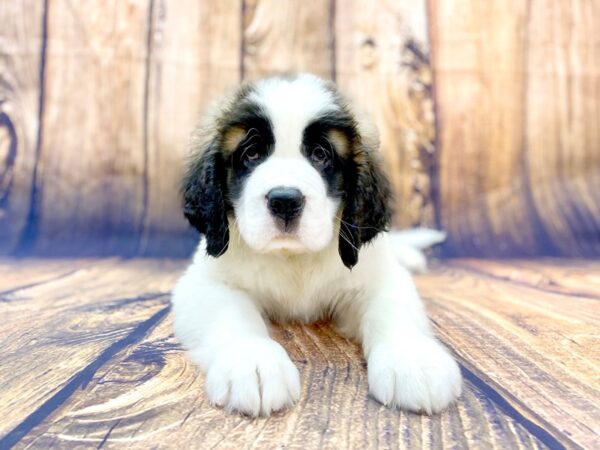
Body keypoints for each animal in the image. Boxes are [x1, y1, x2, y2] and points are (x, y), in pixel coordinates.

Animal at [171, 73, 462, 414]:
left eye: (321, 155)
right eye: (251, 154)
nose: (285, 201)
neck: (293, 259)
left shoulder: (380, 277)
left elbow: (391, 308)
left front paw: (412, 360)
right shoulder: (205, 283)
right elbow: (232, 315)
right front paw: (254, 363)